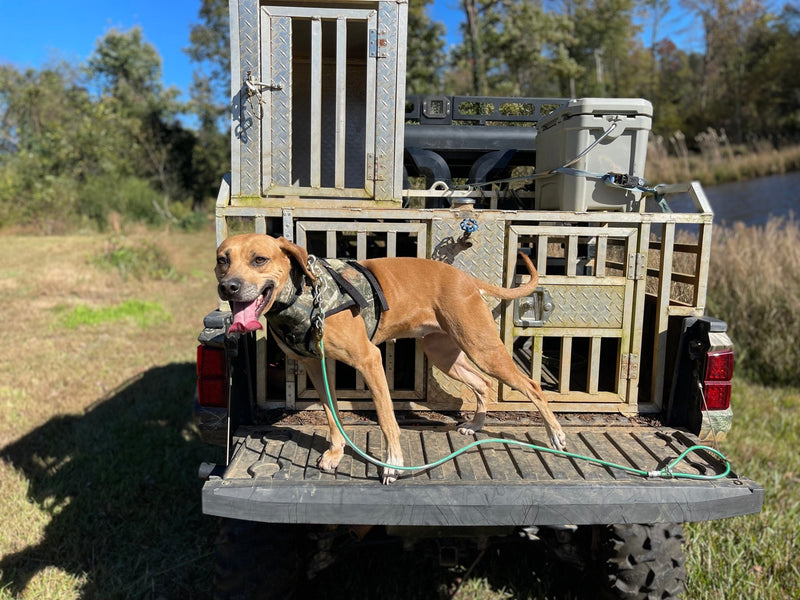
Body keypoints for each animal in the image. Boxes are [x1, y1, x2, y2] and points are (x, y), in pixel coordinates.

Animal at [216, 233, 564, 482]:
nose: (228, 286)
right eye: (222, 260)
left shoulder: (370, 361)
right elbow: (332, 414)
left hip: (483, 348)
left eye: (259, 259)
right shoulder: (317, 367)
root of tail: (465, 277)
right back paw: (476, 425)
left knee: (531, 386)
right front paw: (336, 452)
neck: (303, 297)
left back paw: (556, 435)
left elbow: (386, 419)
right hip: (445, 355)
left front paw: (393, 464)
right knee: (482, 384)